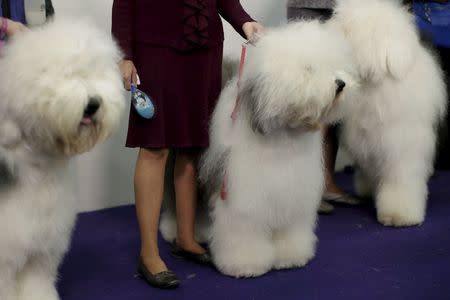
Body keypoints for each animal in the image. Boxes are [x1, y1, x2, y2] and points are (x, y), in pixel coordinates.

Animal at [0, 19, 125, 298]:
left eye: (93, 73)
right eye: (63, 75)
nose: (93, 104)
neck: (38, 166)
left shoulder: (41, 242)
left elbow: (36, 282)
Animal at [199, 21, 356, 278]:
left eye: (333, 66)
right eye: (309, 69)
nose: (340, 84)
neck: (283, 137)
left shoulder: (292, 195)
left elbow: (290, 230)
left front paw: (290, 257)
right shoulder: (244, 200)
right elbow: (244, 232)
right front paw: (246, 265)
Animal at [326, 0, 446, 225]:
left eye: (347, 28)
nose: (325, 29)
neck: (373, 85)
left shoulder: (401, 149)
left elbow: (400, 182)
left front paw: (399, 215)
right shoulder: (369, 143)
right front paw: (368, 190)